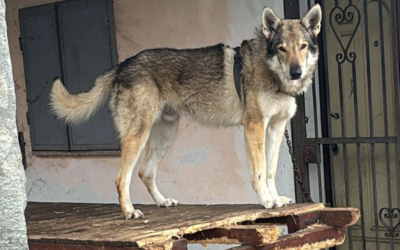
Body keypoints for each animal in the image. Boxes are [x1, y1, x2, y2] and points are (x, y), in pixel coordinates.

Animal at [49, 3, 322, 219]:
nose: (296, 72)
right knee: (121, 178)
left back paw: (163, 202)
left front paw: (276, 199)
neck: (273, 73)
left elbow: (271, 170)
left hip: (165, 135)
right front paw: (266, 201)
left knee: (145, 172)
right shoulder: (254, 126)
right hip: (138, 136)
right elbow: (259, 172)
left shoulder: (276, 127)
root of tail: (123, 64)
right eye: (282, 48)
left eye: (303, 46)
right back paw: (129, 212)